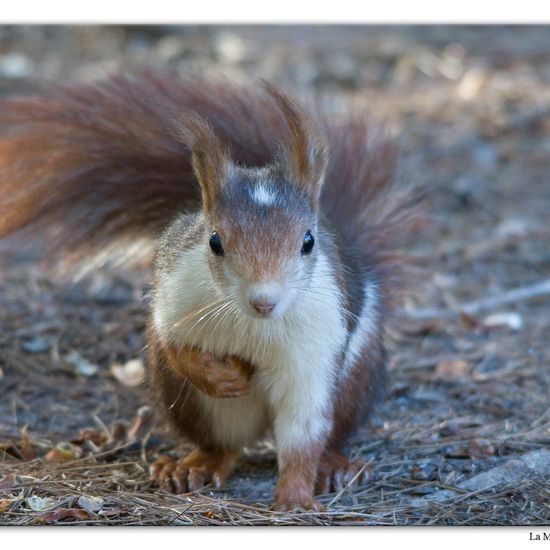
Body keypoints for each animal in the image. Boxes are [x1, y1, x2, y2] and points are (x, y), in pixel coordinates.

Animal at [0, 71, 418, 512]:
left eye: (308, 241)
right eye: (215, 241)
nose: (264, 300)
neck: (253, 326)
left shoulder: (315, 352)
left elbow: (303, 431)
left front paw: (295, 498)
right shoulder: (174, 298)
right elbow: (176, 347)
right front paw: (217, 376)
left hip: (355, 380)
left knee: (331, 432)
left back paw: (333, 466)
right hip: (189, 401)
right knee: (224, 444)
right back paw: (194, 466)